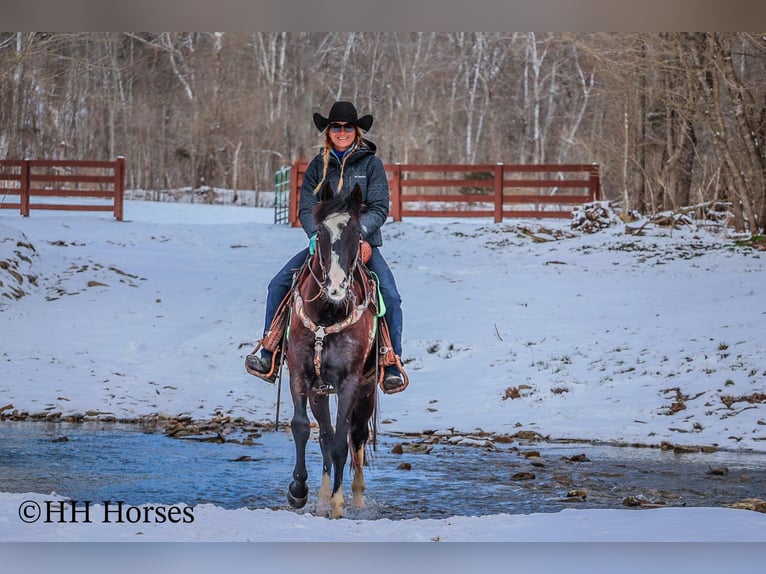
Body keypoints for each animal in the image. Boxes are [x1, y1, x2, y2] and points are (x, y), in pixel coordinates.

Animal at [285, 182, 379, 519]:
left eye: (356, 233)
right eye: (321, 234)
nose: (336, 288)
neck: (328, 314)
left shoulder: (350, 381)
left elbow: (342, 441)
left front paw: (339, 504)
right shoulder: (300, 374)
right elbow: (303, 428)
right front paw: (298, 491)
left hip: (366, 391)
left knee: (357, 435)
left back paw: (357, 498)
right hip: (320, 392)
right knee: (324, 434)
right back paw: (323, 497)